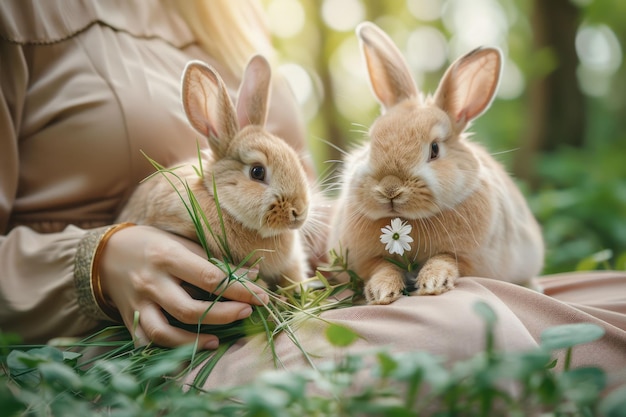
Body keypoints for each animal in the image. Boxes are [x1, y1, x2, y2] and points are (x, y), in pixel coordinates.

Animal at [330, 22, 544, 302]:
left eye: (434, 149)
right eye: (370, 141)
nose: (390, 189)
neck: (410, 221)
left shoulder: (467, 257)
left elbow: (445, 260)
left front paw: (433, 283)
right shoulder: (367, 260)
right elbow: (381, 268)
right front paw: (382, 292)